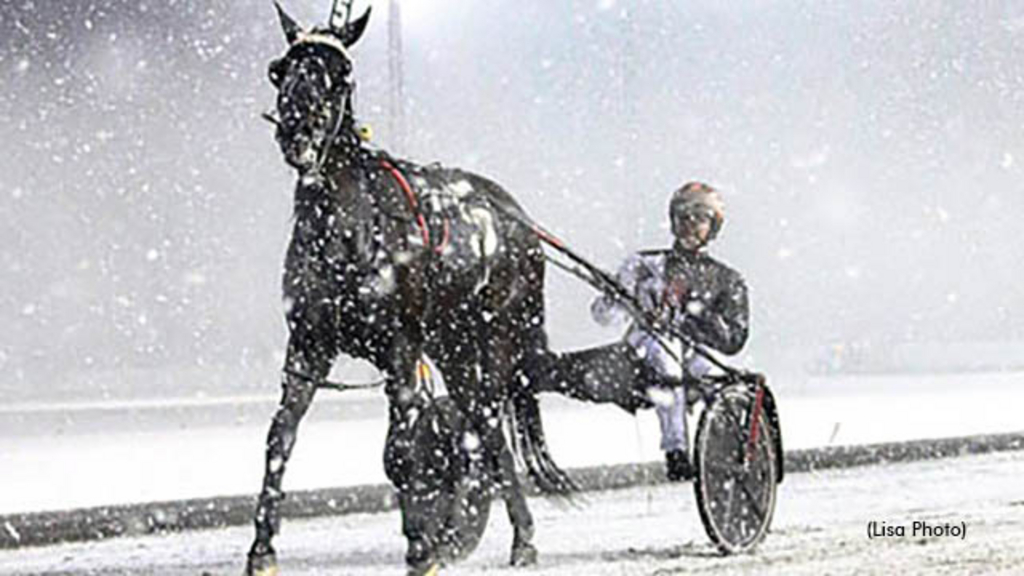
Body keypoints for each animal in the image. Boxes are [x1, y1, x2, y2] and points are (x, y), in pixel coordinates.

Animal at [243, 4, 573, 573]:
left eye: (340, 75)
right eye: (280, 69)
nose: (298, 132)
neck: (347, 231)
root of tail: (515, 214)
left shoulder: (400, 347)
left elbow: (400, 451)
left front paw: (420, 546)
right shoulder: (308, 345)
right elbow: (279, 436)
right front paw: (261, 548)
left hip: (497, 333)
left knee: (488, 418)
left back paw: (520, 536)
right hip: (451, 343)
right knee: (484, 425)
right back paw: (517, 534)